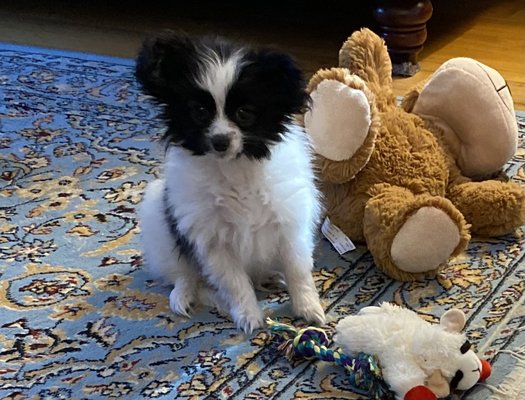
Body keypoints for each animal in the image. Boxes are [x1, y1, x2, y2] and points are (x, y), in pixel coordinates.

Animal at [135, 29, 324, 332]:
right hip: (157, 218)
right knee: (183, 273)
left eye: (244, 113)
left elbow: (298, 271)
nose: (220, 141)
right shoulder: (212, 240)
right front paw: (249, 317)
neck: (236, 168)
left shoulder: (290, 225)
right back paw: (183, 295)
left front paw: (309, 309)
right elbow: (235, 283)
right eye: (200, 112)